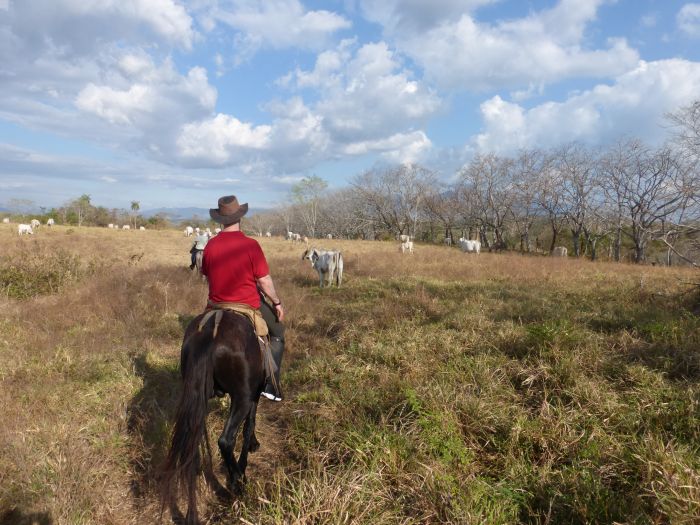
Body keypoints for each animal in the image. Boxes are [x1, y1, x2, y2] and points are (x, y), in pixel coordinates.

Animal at [160, 310, 264, 520]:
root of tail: (209, 335)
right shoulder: (253, 395)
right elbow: (249, 425)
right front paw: (246, 457)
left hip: (197, 401)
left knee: (192, 448)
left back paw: (192, 515)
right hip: (242, 397)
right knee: (225, 440)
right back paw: (238, 483)